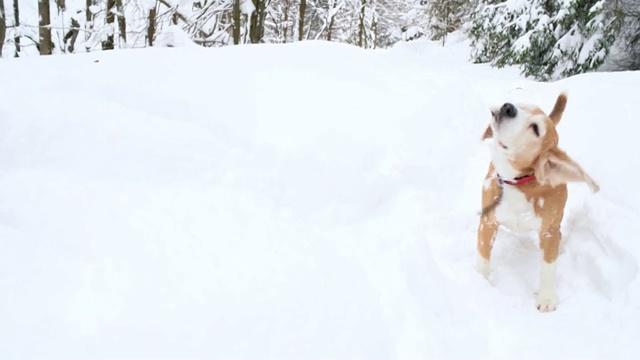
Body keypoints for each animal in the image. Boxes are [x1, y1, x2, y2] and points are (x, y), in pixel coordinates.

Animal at [476, 93, 600, 312]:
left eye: (536, 128)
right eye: (521, 105)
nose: (508, 107)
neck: (518, 181)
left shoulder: (549, 231)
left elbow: (549, 266)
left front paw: (547, 298)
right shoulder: (488, 221)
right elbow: (483, 254)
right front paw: (479, 281)